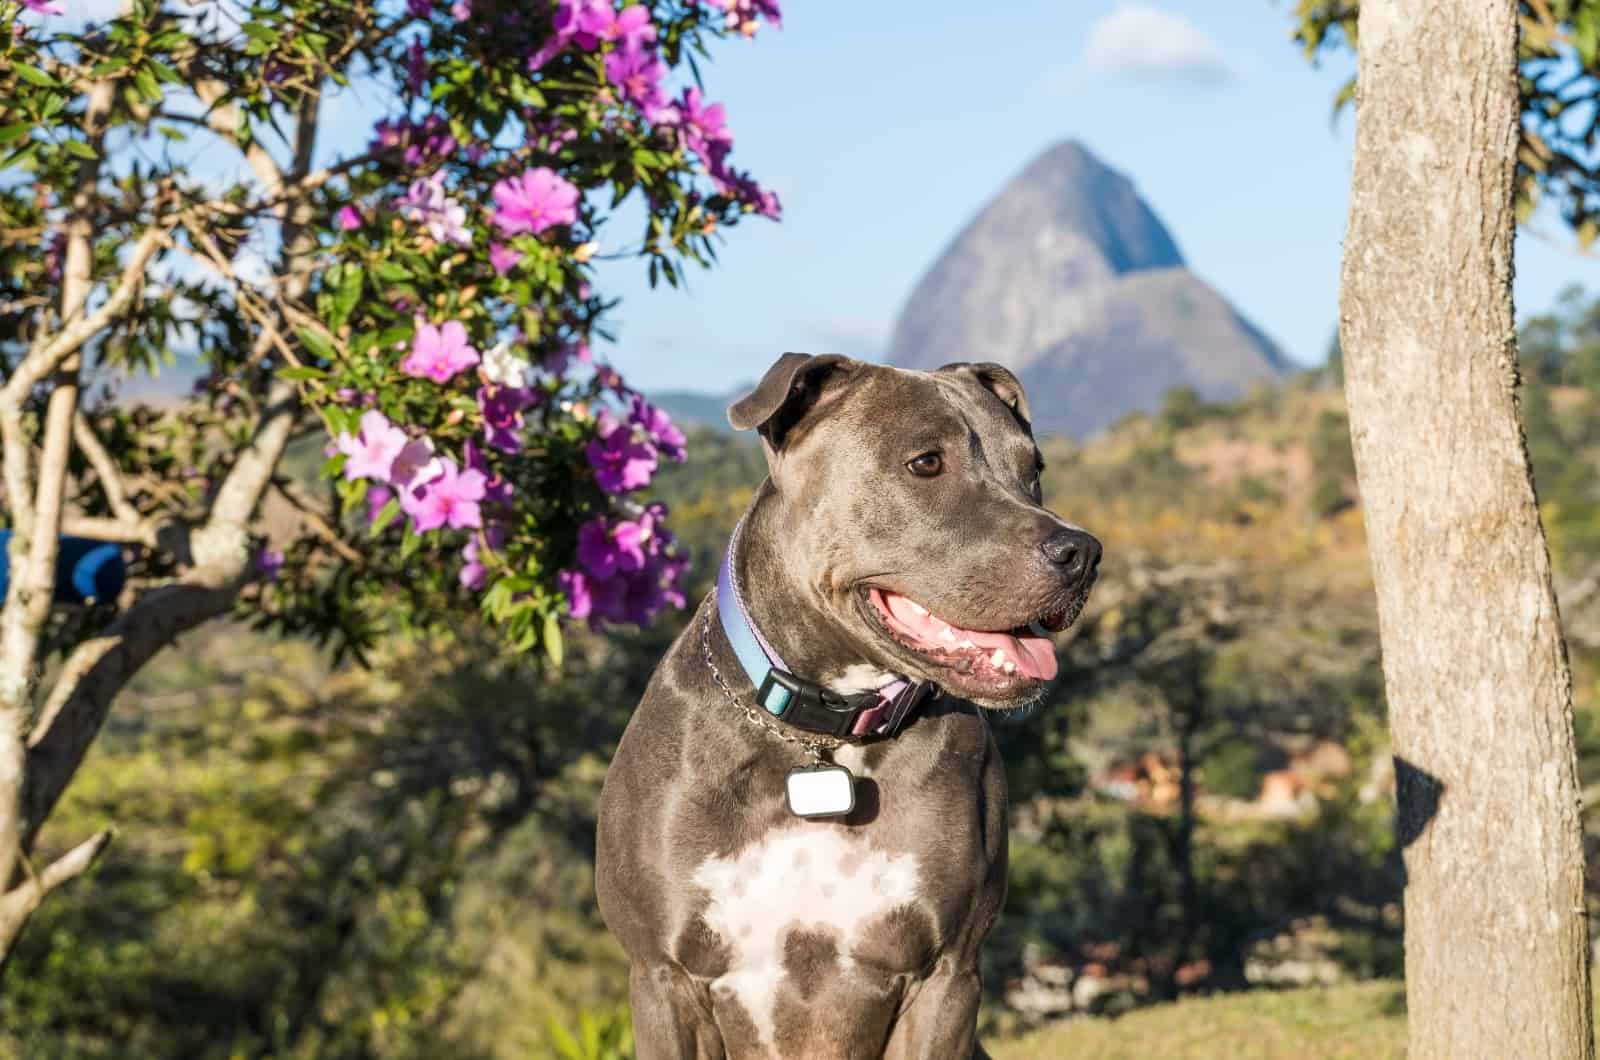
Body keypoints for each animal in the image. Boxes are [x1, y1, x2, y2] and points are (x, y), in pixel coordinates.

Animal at [595, 352, 1107, 1056]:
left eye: (1033, 468)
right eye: (926, 462)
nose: (1081, 552)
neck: (825, 734)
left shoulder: (947, 974)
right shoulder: (664, 976)